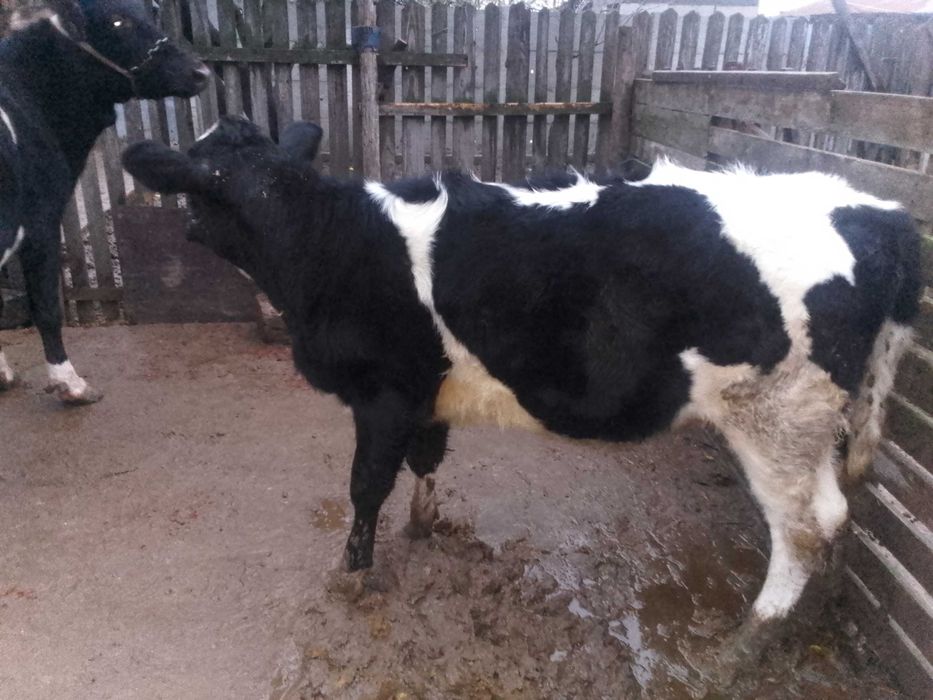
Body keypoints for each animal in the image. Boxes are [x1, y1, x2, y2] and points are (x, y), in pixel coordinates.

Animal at [0, 0, 209, 403]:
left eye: (153, 10)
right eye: (116, 21)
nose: (201, 72)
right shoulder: (40, 222)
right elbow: (46, 307)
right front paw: (71, 384)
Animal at [122, 117, 921, 648]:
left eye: (202, 188)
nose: (183, 228)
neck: (329, 243)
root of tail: (876, 209)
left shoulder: (383, 391)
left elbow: (365, 485)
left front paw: (351, 574)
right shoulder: (427, 392)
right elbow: (426, 460)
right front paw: (424, 526)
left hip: (774, 414)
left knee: (802, 527)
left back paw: (752, 636)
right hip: (812, 419)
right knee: (835, 513)